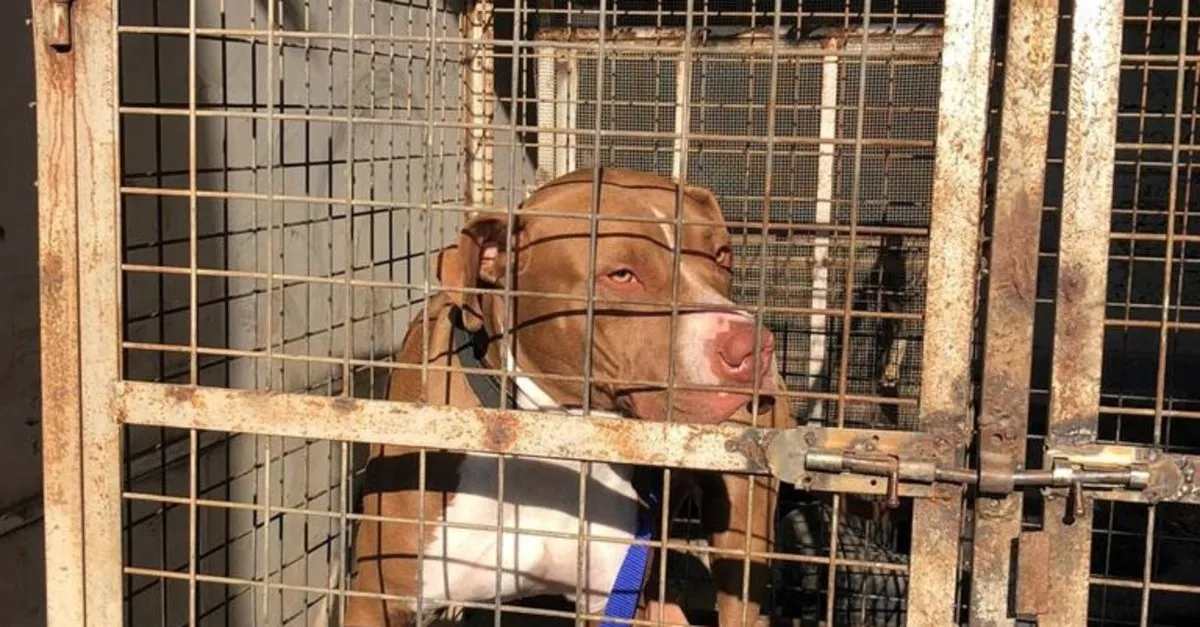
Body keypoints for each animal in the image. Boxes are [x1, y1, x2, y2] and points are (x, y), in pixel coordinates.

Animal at [340, 168, 793, 626]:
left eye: (721, 255)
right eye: (621, 275)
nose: (754, 347)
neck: (546, 439)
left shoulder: (611, 599)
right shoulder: (377, 599)